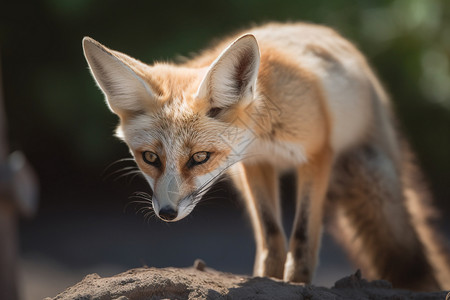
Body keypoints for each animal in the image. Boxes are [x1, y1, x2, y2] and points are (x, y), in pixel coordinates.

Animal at [82, 22, 450, 290]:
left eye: (200, 158)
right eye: (150, 158)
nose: (167, 213)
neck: (263, 137)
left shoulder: (316, 155)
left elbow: (302, 235)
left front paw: (298, 282)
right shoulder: (255, 165)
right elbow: (271, 234)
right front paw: (268, 278)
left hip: (371, 177)